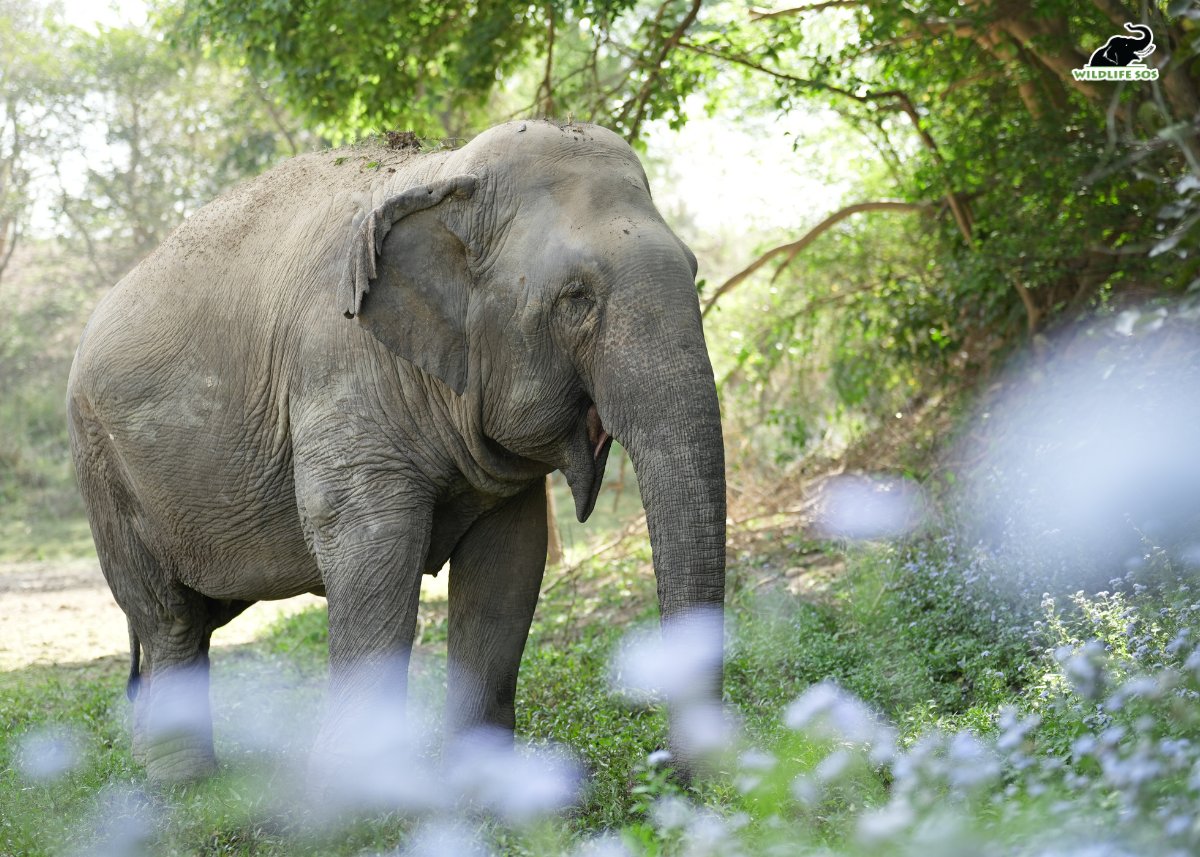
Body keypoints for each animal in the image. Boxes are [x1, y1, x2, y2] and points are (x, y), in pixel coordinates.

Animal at [66, 120, 726, 784]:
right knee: (169, 617)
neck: (447, 174)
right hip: (100, 463)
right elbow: (374, 550)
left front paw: (485, 785)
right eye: (576, 297)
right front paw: (356, 791)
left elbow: (507, 571)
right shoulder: (338, 367)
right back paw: (183, 783)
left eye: (694, 266)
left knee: (197, 619)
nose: (675, 772)